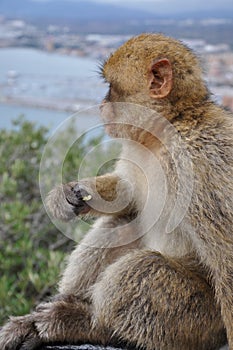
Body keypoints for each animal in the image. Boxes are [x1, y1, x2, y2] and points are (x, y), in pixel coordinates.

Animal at [0, 32, 232, 350]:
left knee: (143, 267)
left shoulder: (202, 163)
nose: (101, 104)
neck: (164, 134)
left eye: (111, 87)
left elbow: (226, 253)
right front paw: (69, 194)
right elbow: (127, 194)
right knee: (120, 223)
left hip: (200, 323)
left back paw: (86, 326)